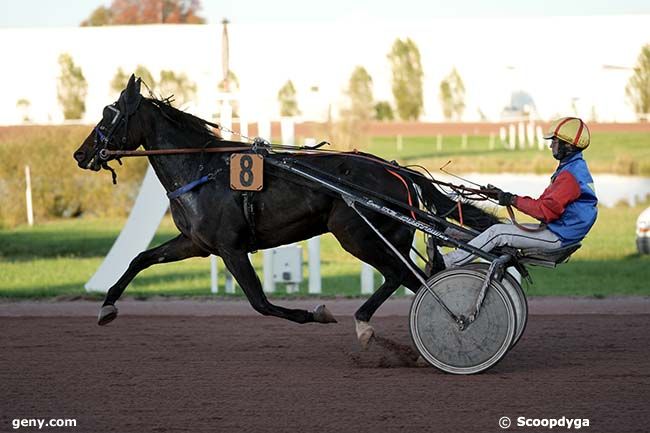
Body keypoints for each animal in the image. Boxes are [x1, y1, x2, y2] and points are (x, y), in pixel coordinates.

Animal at [72, 76, 496, 346]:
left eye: (109, 114)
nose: (80, 154)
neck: (201, 168)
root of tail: (397, 170)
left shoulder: (230, 248)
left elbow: (260, 303)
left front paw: (318, 314)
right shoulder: (196, 244)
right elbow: (140, 259)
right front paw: (107, 306)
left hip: (356, 235)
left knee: (405, 277)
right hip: (383, 237)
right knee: (411, 277)